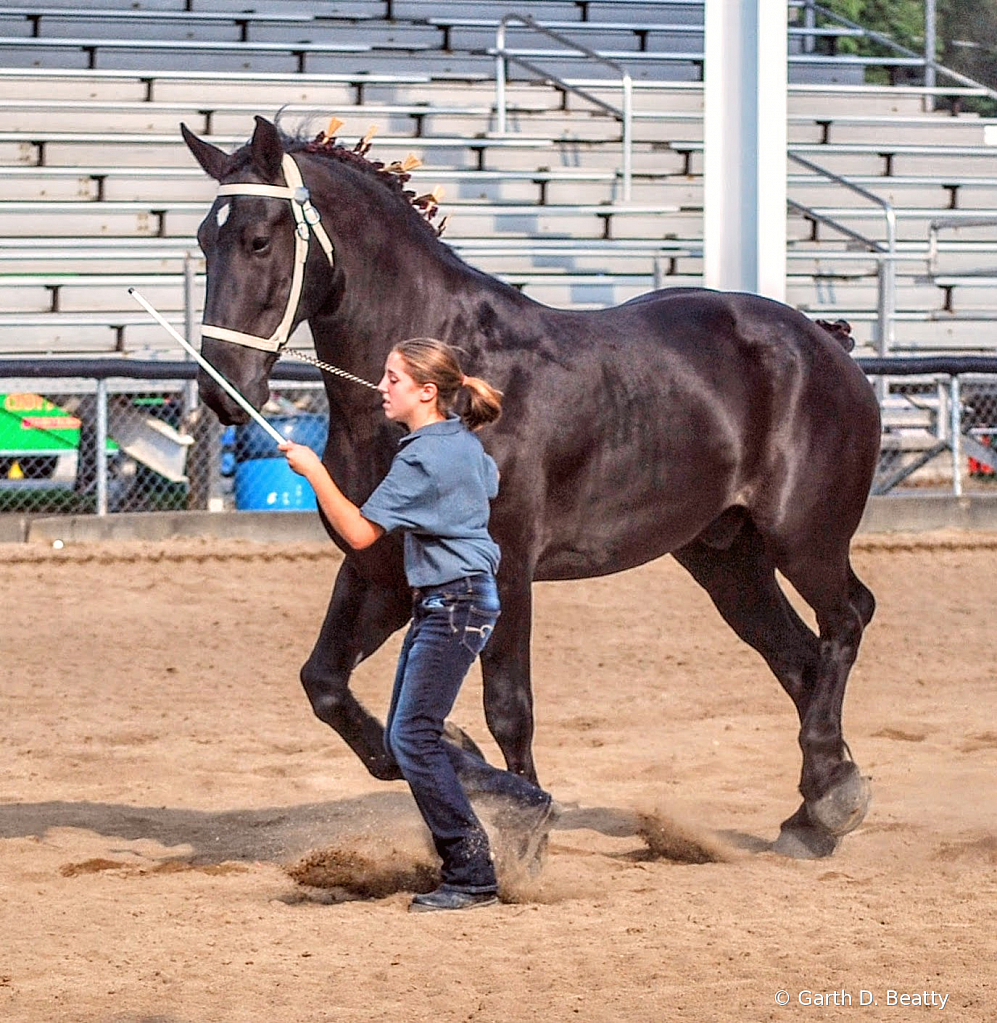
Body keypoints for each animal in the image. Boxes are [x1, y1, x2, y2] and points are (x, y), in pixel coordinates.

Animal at [180, 116, 879, 859]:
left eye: (258, 239)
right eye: (203, 240)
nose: (221, 388)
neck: (448, 384)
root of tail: (825, 342)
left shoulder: (506, 566)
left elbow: (508, 707)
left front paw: (523, 824)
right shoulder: (378, 569)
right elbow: (328, 686)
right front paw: (459, 761)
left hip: (803, 538)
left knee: (845, 619)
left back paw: (832, 798)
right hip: (726, 560)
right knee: (798, 659)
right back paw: (813, 811)